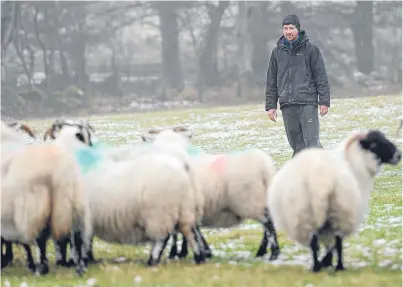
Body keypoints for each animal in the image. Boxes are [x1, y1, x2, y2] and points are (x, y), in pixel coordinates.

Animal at [0, 122, 92, 276]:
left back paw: (41, 268)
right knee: (77, 235)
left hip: (34, 205)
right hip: (74, 202)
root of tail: (60, 167)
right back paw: (80, 267)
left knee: (39, 238)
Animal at [141, 126, 280, 260]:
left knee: (268, 224)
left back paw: (273, 254)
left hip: (250, 201)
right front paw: (196, 252)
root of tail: (265, 165)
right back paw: (262, 252)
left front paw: (178, 253)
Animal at [266, 130, 402, 274]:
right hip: (339, 210)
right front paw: (327, 262)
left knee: (314, 241)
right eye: (374, 144)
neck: (355, 163)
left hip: (307, 213)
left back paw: (316, 268)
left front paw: (326, 262)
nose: (399, 155)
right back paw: (339, 267)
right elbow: (334, 244)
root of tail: (319, 180)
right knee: (338, 240)